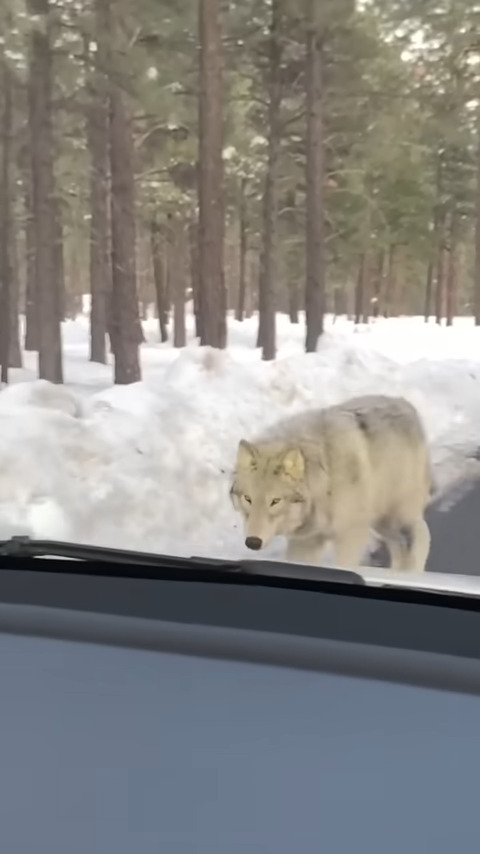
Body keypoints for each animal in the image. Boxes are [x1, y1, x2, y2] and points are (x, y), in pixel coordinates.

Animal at [231, 396, 434, 576]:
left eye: (275, 501)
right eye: (248, 498)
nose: (252, 542)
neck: (324, 477)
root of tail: (404, 403)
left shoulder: (350, 535)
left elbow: (345, 565)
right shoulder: (306, 542)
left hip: (400, 516)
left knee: (423, 533)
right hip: (380, 521)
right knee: (399, 546)